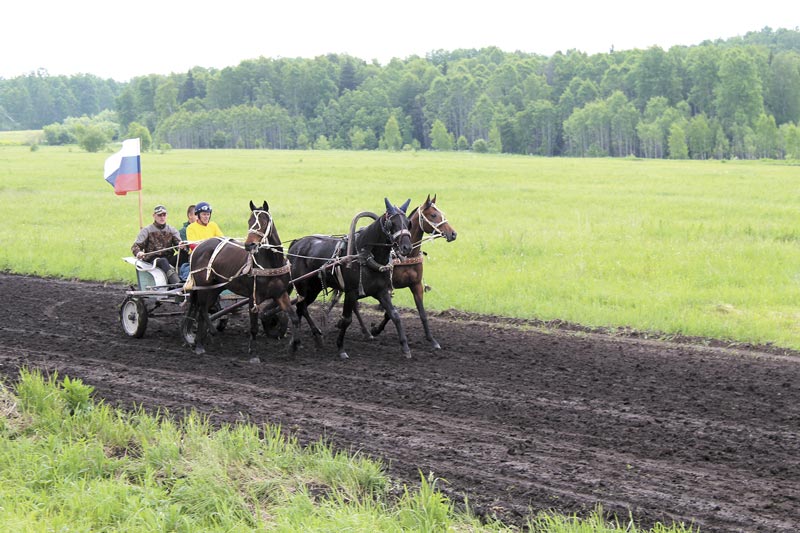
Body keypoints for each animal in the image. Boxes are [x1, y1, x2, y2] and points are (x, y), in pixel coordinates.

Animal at [184, 200, 300, 358]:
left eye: (264, 222)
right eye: (249, 221)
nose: (249, 244)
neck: (271, 263)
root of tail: (199, 247)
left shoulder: (280, 294)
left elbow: (294, 318)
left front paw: (294, 346)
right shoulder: (253, 298)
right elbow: (254, 327)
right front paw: (253, 354)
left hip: (215, 288)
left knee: (204, 310)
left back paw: (199, 344)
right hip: (203, 286)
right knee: (202, 309)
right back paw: (209, 334)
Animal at [288, 197, 412, 360]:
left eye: (408, 222)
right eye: (392, 223)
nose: (406, 247)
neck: (364, 256)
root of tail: (297, 243)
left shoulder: (382, 292)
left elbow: (395, 315)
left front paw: (405, 347)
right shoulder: (351, 292)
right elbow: (347, 320)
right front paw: (341, 347)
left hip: (314, 288)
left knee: (300, 308)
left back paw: (303, 340)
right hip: (303, 285)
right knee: (301, 307)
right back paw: (306, 338)